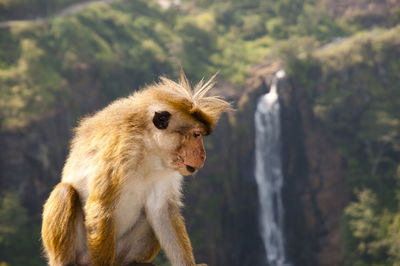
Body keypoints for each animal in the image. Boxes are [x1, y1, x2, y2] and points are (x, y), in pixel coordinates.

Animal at [41, 72, 231, 266]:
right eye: (196, 135)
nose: (203, 155)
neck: (149, 149)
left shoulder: (167, 169)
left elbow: (161, 209)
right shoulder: (120, 151)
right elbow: (101, 207)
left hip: (119, 252)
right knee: (65, 192)